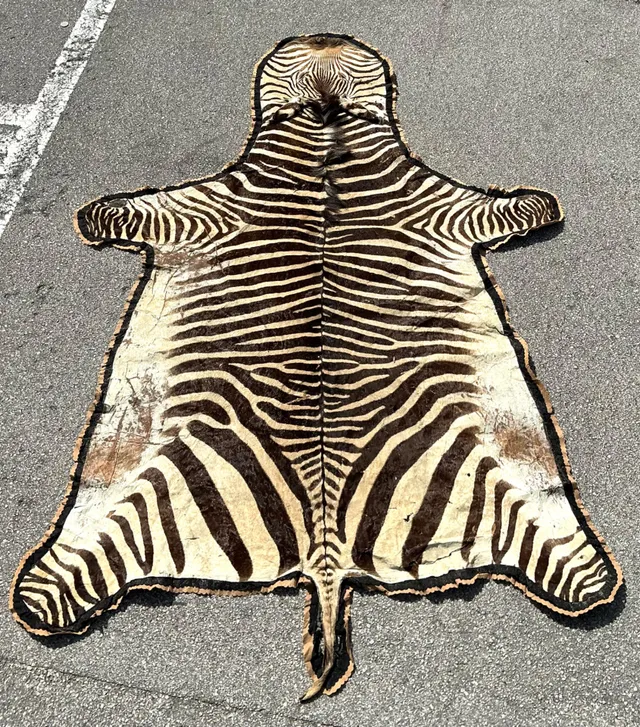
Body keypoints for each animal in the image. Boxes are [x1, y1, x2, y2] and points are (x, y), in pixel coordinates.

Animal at [11, 34, 622, 700]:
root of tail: (327, 561)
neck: (324, 127)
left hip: (496, 472)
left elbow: (517, 207)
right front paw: (91, 217)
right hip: (143, 481)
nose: (323, 37)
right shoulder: (199, 207)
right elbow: (124, 210)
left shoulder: (442, 205)